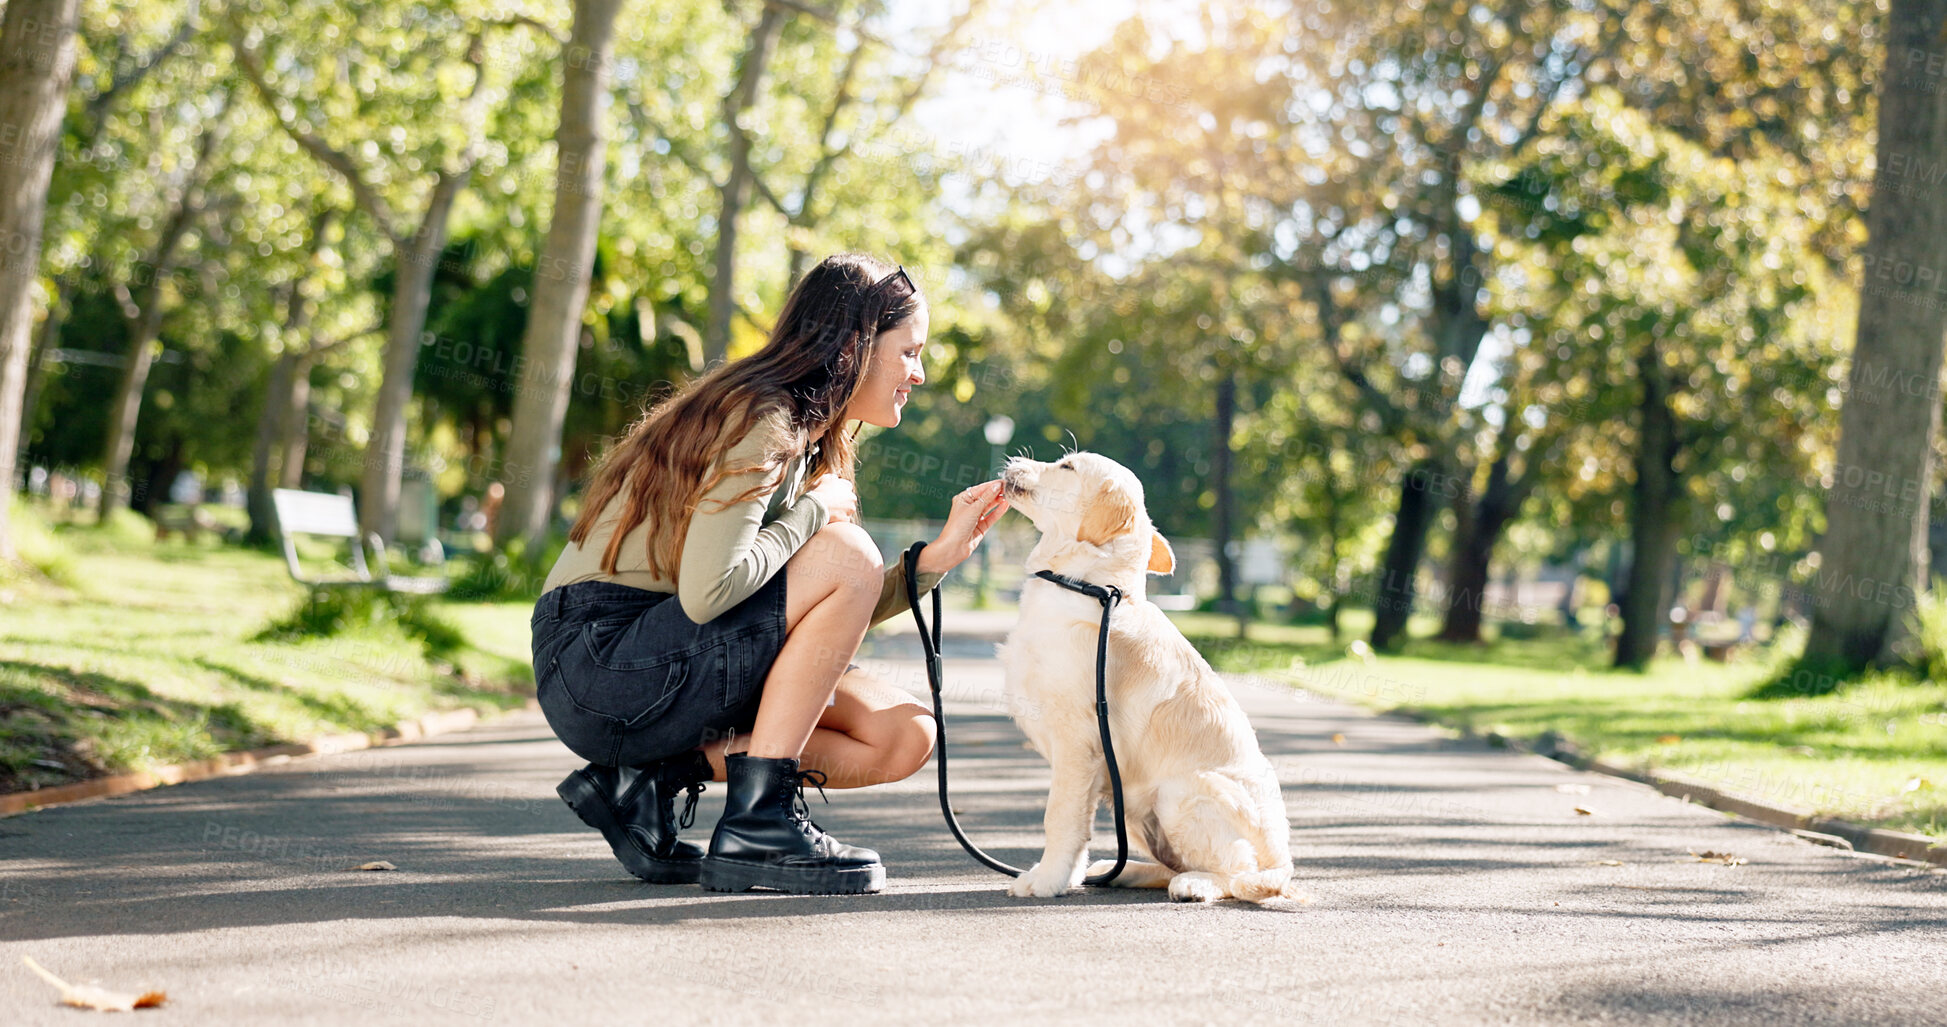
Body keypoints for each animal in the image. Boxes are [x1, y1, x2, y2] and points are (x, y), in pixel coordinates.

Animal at [996, 454, 1300, 904]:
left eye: (1067, 466)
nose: (1013, 461)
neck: (1088, 587)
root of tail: (1284, 861)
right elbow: (1078, 829)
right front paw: (1065, 876)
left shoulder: (1077, 741)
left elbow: (1060, 817)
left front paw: (1046, 881)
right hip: (1132, 805)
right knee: (1172, 863)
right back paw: (1120, 871)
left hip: (1178, 793)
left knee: (1235, 873)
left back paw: (1195, 884)